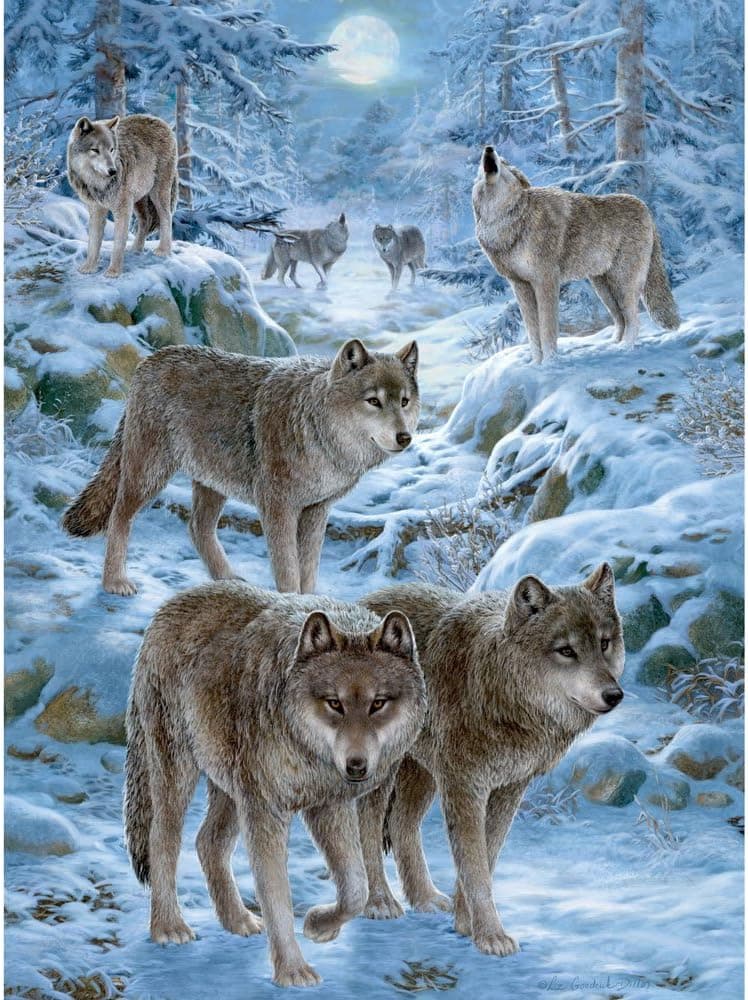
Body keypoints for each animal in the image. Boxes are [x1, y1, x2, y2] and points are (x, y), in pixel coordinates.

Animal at [62, 338, 420, 596]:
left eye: (404, 402)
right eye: (373, 401)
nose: (405, 437)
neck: (315, 430)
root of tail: (149, 361)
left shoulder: (317, 509)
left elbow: (308, 569)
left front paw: (310, 604)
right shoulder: (277, 507)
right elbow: (287, 569)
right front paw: (291, 607)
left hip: (212, 483)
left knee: (197, 527)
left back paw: (227, 581)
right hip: (149, 474)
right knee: (119, 517)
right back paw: (115, 583)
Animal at [67, 114, 177, 278]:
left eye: (112, 149)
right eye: (95, 150)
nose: (112, 171)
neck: (98, 184)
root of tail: (160, 121)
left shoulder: (122, 209)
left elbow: (118, 243)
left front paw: (114, 271)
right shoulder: (96, 209)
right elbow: (93, 242)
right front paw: (89, 267)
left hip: (157, 193)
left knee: (166, 216)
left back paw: (163, 250)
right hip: (138, 199)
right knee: (146, 220)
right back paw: (136, 249)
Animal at [124, 581, 426, 987]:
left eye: (378, 703)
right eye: (334, 703)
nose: (356, 766)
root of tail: (167, 609)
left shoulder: (327, 806)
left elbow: (355, 889)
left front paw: (319, 926)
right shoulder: (267, 813)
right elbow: (276, 897)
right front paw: (292, 970)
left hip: (232, 790)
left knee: (208, 842)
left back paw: (237, 920)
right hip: (180, 774)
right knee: (162, 840)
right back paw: (168, 927)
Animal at [357, 563, 624, 958]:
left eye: (604, 643)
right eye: (566, 650)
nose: (614, 695)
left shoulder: (508, 788)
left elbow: (488, 854)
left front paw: (464, 923)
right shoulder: (464, 788)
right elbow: (475, 867)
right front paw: (490, 936)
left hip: (422, 774)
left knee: (403, 824)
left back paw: (425, 900)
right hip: (383, 774)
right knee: (369, 827)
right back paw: (379, 903)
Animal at [473, 146, 680, 362]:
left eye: (504, 163)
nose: (489, 148)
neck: (509, 220)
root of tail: (644, 207)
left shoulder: (546, 281)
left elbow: (547, 331)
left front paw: (550, 362)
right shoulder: (520, 285)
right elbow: (533, 335)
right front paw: (536, 363)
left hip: (623, 284)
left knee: (633, 320)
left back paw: (624, 349)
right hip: (603, 287)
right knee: (620, 319)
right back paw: (610, 347)